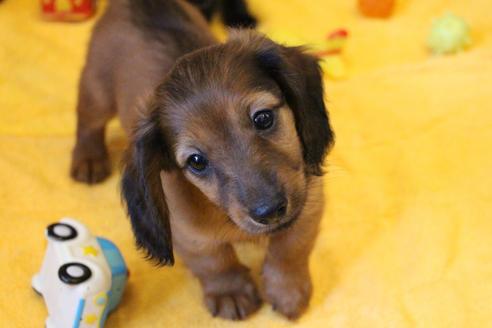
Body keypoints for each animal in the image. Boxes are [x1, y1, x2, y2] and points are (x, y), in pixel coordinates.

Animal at [70, 0, 334, 320]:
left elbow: (290, 250)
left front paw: (288, 290)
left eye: (263, 118)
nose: (269, 212)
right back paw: (89, 158)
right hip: (97, 92)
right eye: (196, 161)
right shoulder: (190, 236)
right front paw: (230, 292)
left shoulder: (308, 205)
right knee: (87, 123)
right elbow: (215, 262)